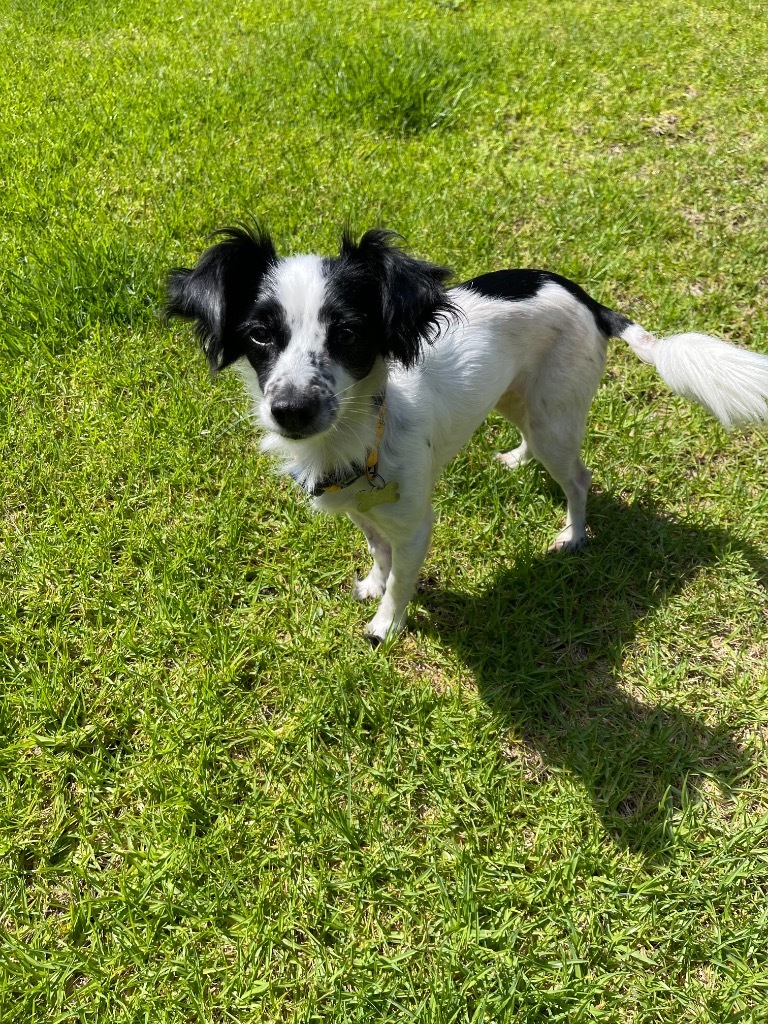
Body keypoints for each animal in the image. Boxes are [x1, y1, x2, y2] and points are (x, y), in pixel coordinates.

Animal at [166, 226, 768, 638]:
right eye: (259, 335)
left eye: (350, 334)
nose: (290, 409)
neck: (362, 433)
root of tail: (590, 301)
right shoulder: (364, 510)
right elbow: (378, 551)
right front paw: (373, 583)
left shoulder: (416, 527)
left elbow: (402, 579)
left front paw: (386, 625)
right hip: (518, 400)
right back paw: (517, 460)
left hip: (555, 418)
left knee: (578, 478)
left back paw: (573, 535)